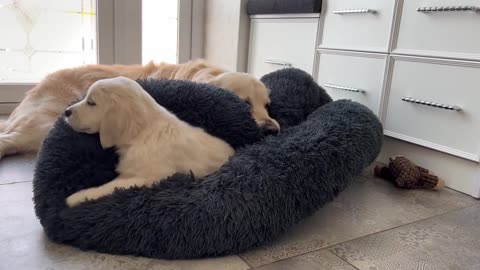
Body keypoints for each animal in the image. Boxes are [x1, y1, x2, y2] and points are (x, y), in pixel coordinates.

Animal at [64, 76, 234, 207]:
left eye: (91, 103)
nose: (66, 112)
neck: (141, 134)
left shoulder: (150, 178)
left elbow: (111, 187)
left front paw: (75, 197)